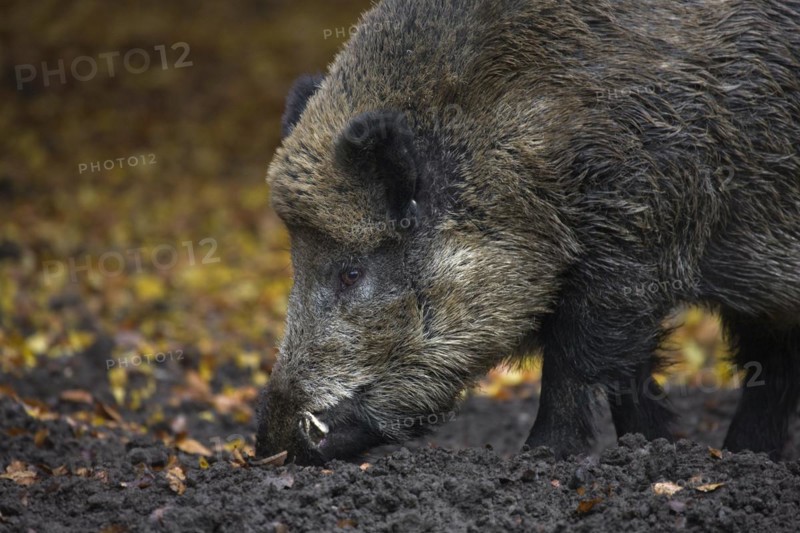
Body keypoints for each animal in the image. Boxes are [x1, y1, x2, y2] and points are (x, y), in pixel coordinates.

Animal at [257, 0, 800, 464]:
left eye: (351, 272)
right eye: (295, 261)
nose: (271, 444)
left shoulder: (632, 250)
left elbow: (576, 362)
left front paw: (540, 455)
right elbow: (629, 370)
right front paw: (651, 446)